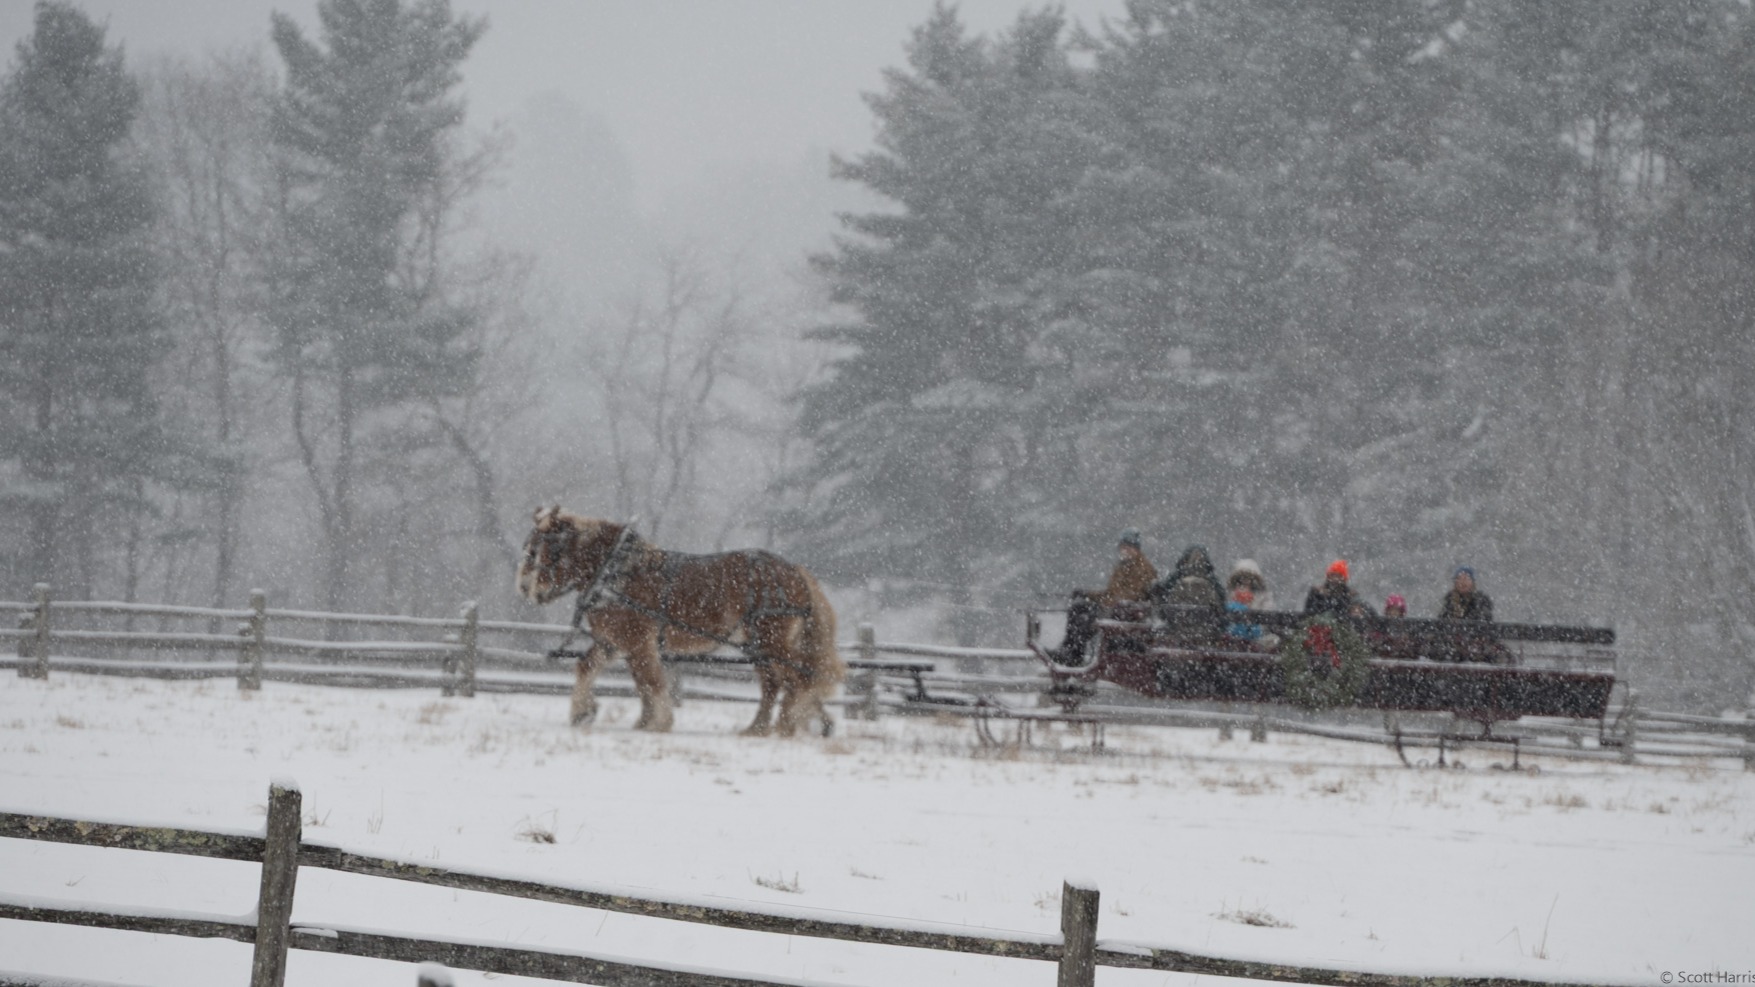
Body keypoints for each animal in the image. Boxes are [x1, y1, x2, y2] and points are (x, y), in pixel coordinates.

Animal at [515, 507, 844, 736]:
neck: (616, 573)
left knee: (800, 678)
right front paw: (586, 712)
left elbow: (651, 681)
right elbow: (593, 669)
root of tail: (795, 571)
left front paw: (659, 722)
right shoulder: (615, 641)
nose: (524, 588)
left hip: (773, 641)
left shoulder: (637, 641)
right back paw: (761, 728)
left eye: (542, 550)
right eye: (528, 548)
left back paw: (787, 724)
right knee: (775, 683)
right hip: (758, 646)